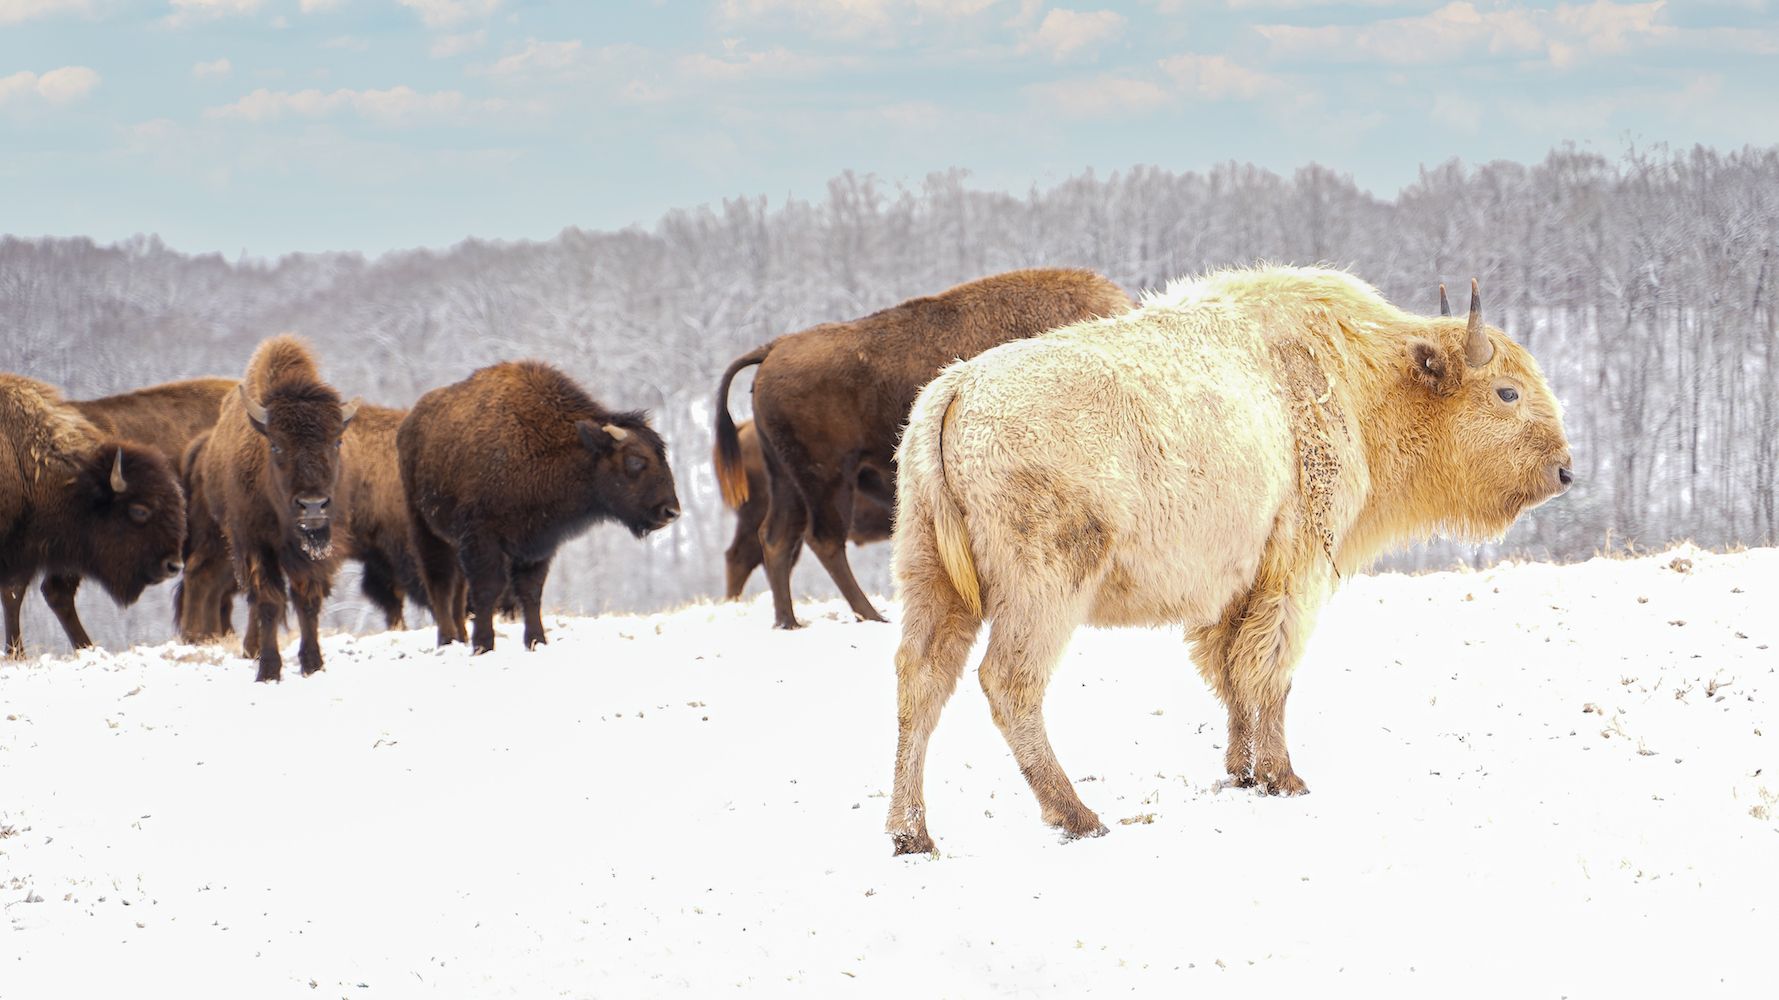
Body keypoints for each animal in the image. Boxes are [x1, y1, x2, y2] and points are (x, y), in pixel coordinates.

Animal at [201, 332, 357, 676]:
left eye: (337, 441)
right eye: (275, 445)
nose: (312, 506)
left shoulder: (316, 548)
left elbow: (307, 599)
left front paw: (313, 663)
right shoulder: (256, 545)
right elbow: (269, 601)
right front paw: (269, 669)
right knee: (253, 599)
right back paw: (252, 648)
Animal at [400, 359, 676, 654]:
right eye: (635, 459)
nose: (671, 512)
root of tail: (410, 422)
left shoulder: (537, 543)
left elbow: (530, 591)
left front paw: (536, 640)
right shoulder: (481, 539)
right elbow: (487, 589)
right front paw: (484, 645)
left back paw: (461, 637)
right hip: (425, 528)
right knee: (439, 582)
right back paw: (447, 639)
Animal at [885, 263, 1572, 846]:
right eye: (1507, 392)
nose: (1565, 470)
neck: (1357, 377)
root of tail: (954, 390)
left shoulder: (1234, 588)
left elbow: (1232, 672)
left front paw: (1241, 772)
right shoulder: (1294, 573)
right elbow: (1268, 672)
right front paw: (1283, 778)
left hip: (932, 582)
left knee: (921, 681)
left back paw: (911, 835)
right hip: (1047, 591)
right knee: (1009, 684)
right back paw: (1079, 816)